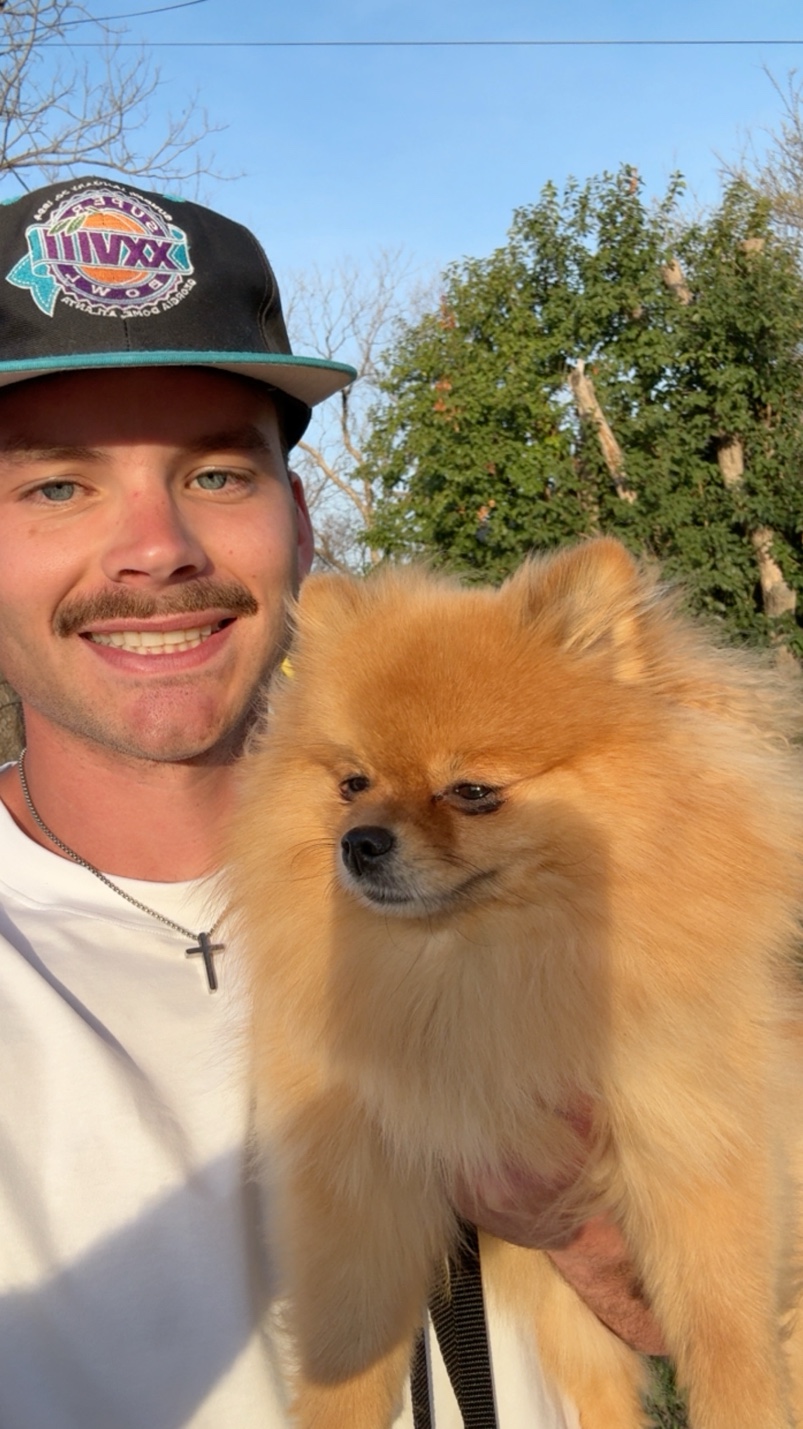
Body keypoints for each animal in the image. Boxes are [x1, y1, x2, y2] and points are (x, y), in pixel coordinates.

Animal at [226, 538, 803, 1428]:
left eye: (472, 792)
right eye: (351, 783)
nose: (359, 841)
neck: (473, 960)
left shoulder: (694, 1149)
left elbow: (725, 1335)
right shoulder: (361, 1182)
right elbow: (345, 1355)